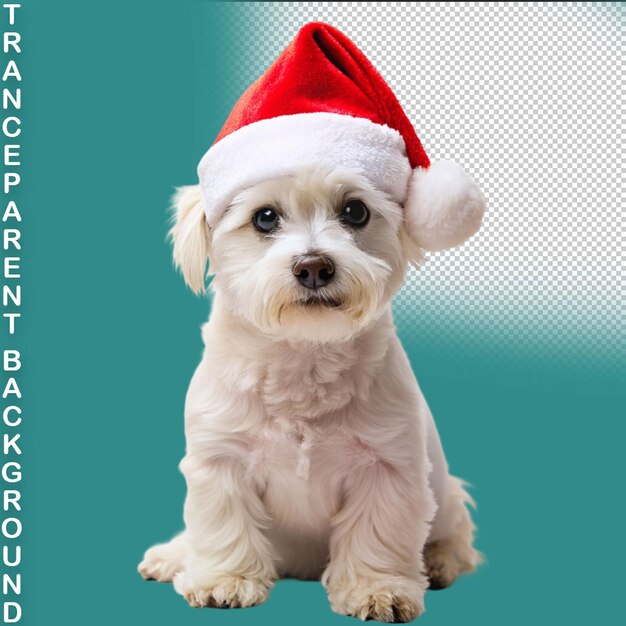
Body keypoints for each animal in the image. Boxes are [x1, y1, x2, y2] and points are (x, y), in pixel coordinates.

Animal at [139, 165, 480, 620]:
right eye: (264, 217)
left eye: (356, 211)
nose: (314, 266)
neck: (304, 354)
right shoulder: (220, 457)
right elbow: (223, 523)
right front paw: (225, 579)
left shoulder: (386, 466)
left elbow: (377, 534)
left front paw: (377, 589)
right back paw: (172, 556)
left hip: (446, 500)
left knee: (455, 534)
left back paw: (441, 561)